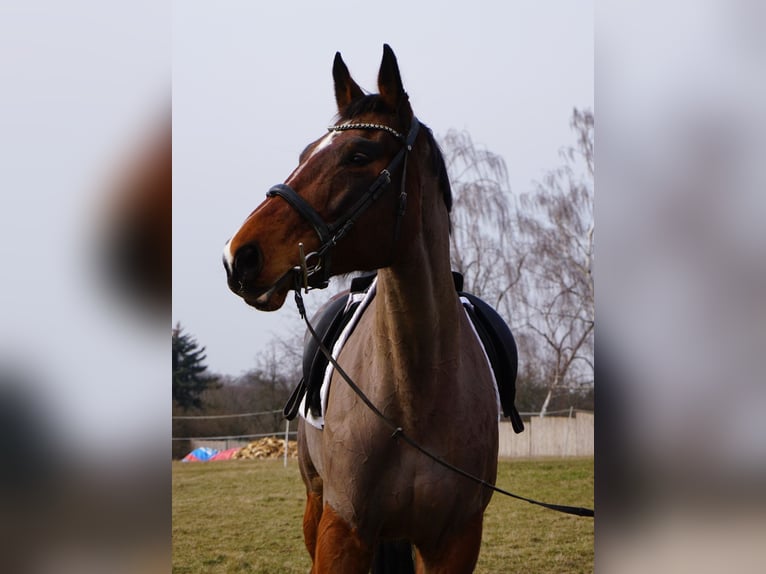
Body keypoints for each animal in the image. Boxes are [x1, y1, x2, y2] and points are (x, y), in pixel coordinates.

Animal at [225, 46, 500, 574]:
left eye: (358, 156)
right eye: (304, 154)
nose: (240, 256)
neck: (415, 401)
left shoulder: (455, 541)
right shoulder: (342, 532)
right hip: (314, 503)